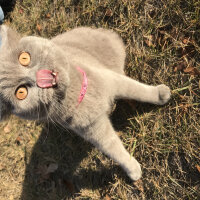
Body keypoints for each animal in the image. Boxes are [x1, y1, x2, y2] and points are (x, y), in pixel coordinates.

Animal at [0, 25, 170, 181]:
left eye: (24, 58)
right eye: (21, 93)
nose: (38, 77)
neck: (77, 94)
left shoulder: (112, 80)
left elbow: (138, 90)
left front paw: (161, 94)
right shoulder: (90, 128)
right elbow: (112, 148)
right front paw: (132, 169)